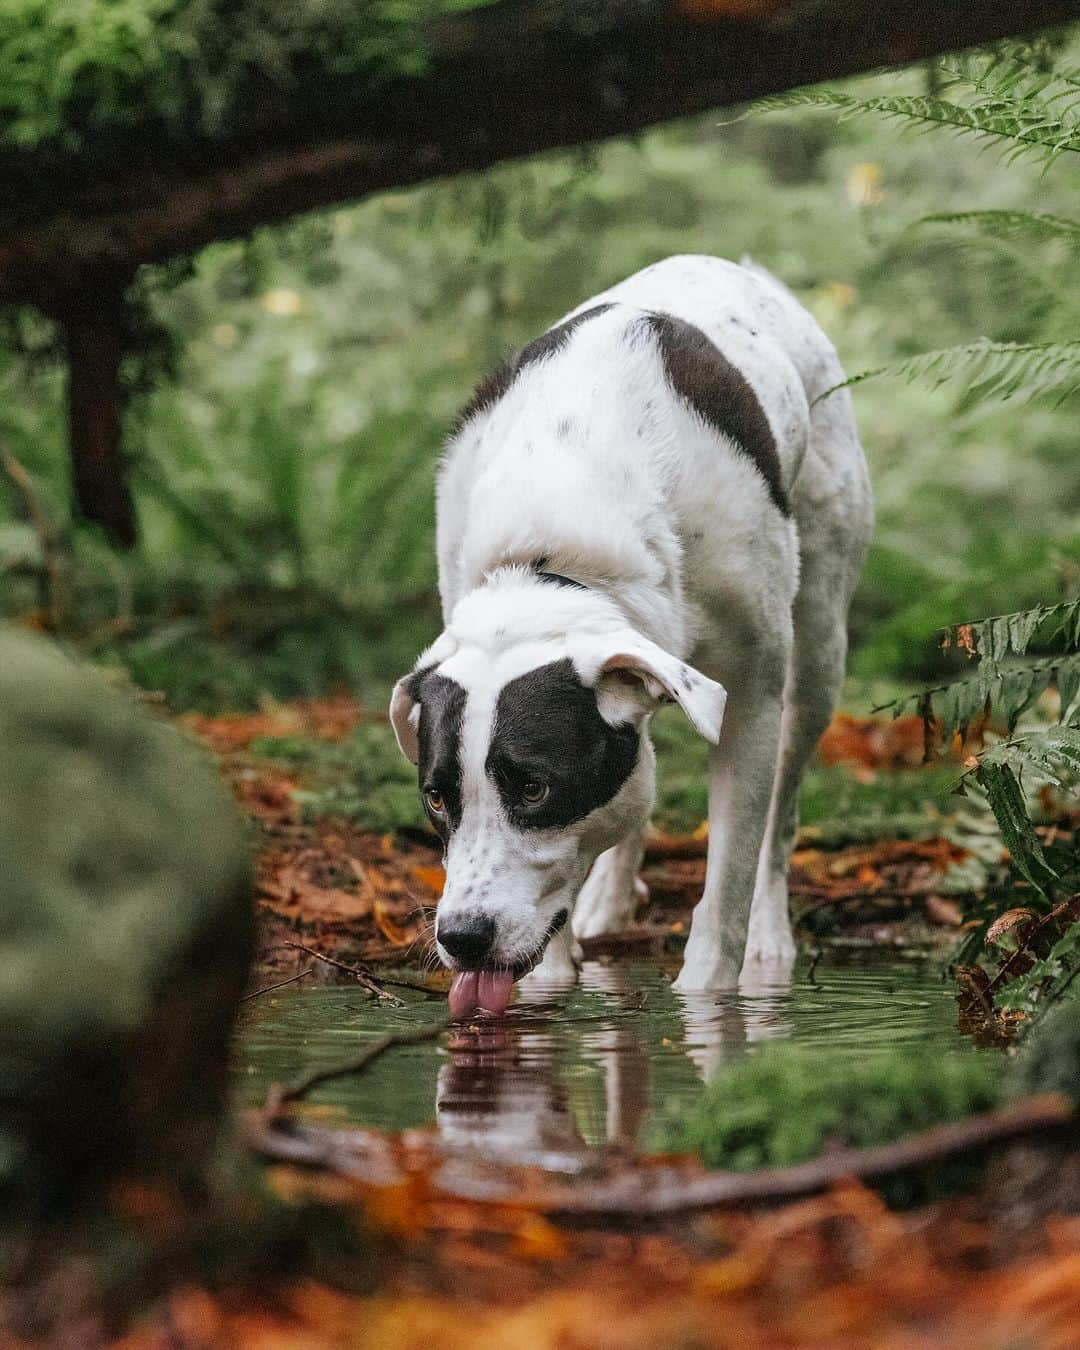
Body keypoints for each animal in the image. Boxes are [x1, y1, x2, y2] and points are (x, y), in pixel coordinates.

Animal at [391, 253, 874, 1015]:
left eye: (535, 789)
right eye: (436, 799)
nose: (461, 938)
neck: (555, 552)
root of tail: (741, 270)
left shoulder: (751, 700)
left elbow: (730, 876)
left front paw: (709, 1003)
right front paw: (553, 982)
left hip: (818, 650)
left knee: (782, 811)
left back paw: (771, 940)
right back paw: (609, 900)